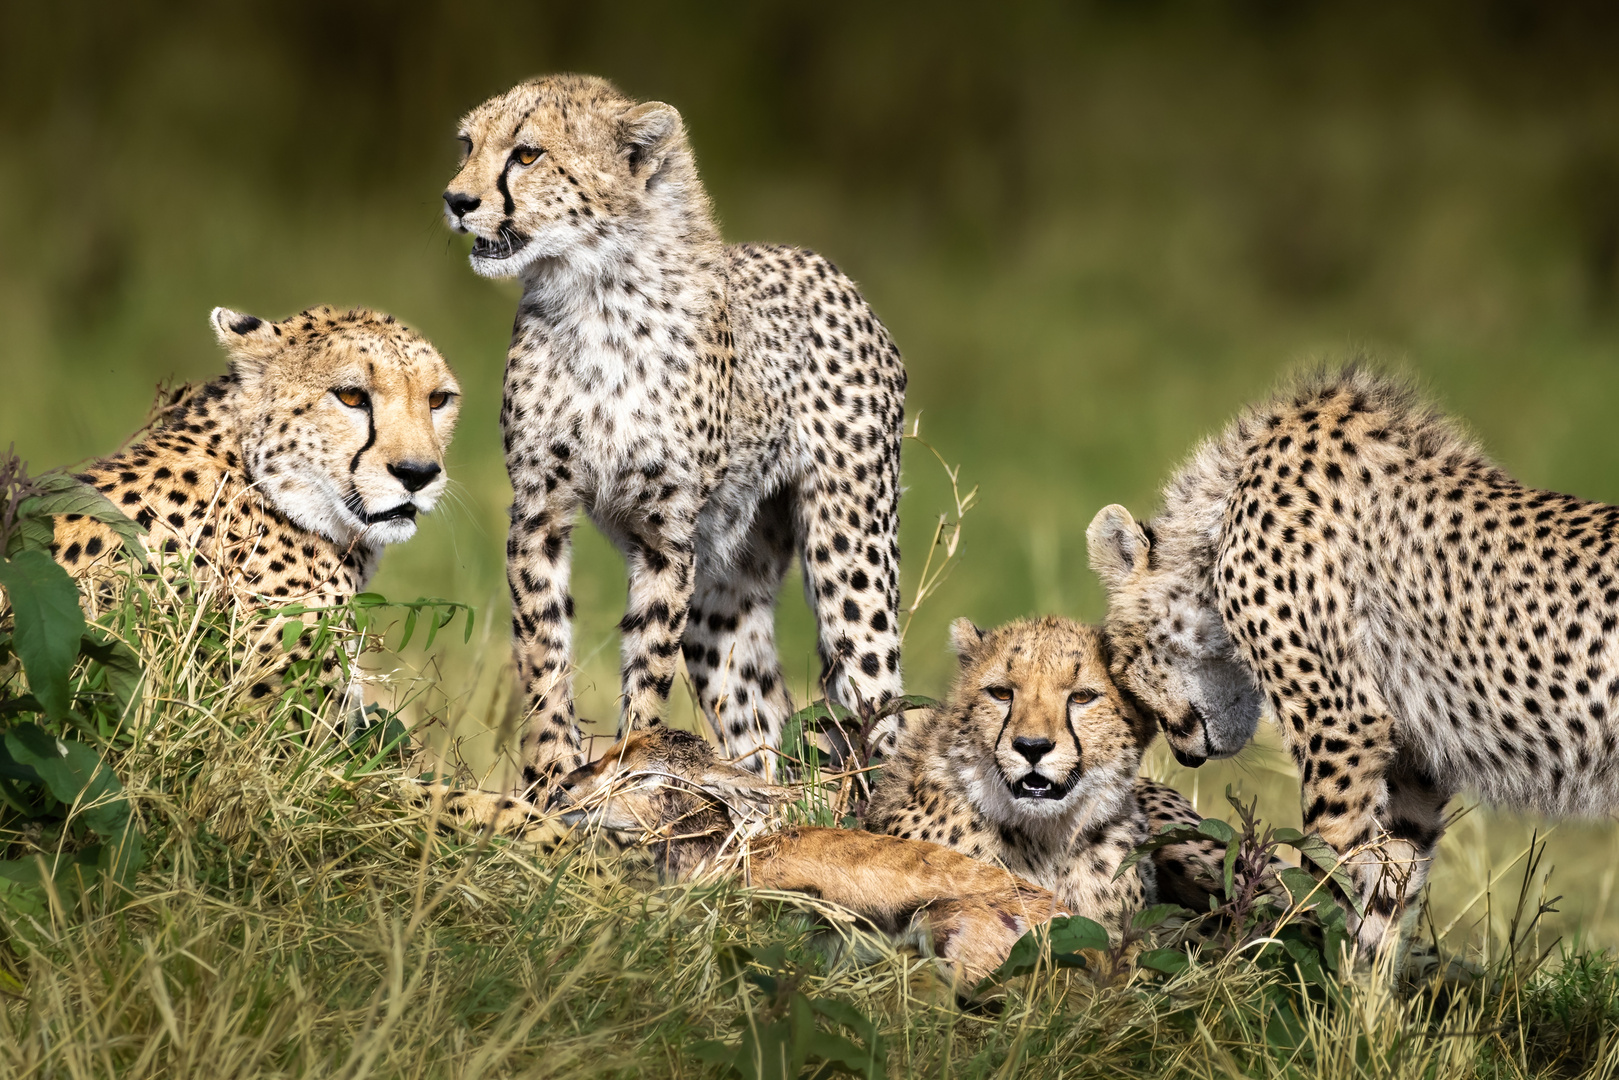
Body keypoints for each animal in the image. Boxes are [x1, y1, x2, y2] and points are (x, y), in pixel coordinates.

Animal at [443, 74, 906, 786]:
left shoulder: (667, 530)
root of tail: (830, 269)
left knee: (880, 700)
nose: (456, 200)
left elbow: (648, 656)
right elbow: (542, 647)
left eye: (526, 154)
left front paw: (629, 763)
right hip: (723, 592)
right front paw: (550, 771)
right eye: (468, 145)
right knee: (761, 715)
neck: (596, 294)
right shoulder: (539, 509)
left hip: (849, 555)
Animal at [1081, 365, 1619, 952]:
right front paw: (1359, 977)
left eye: (1125, 665)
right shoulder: (1411, 762)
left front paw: (1293, 967)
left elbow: (1326, 871)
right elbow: (1385, 892)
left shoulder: (1342, 727)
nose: (1185, 757)